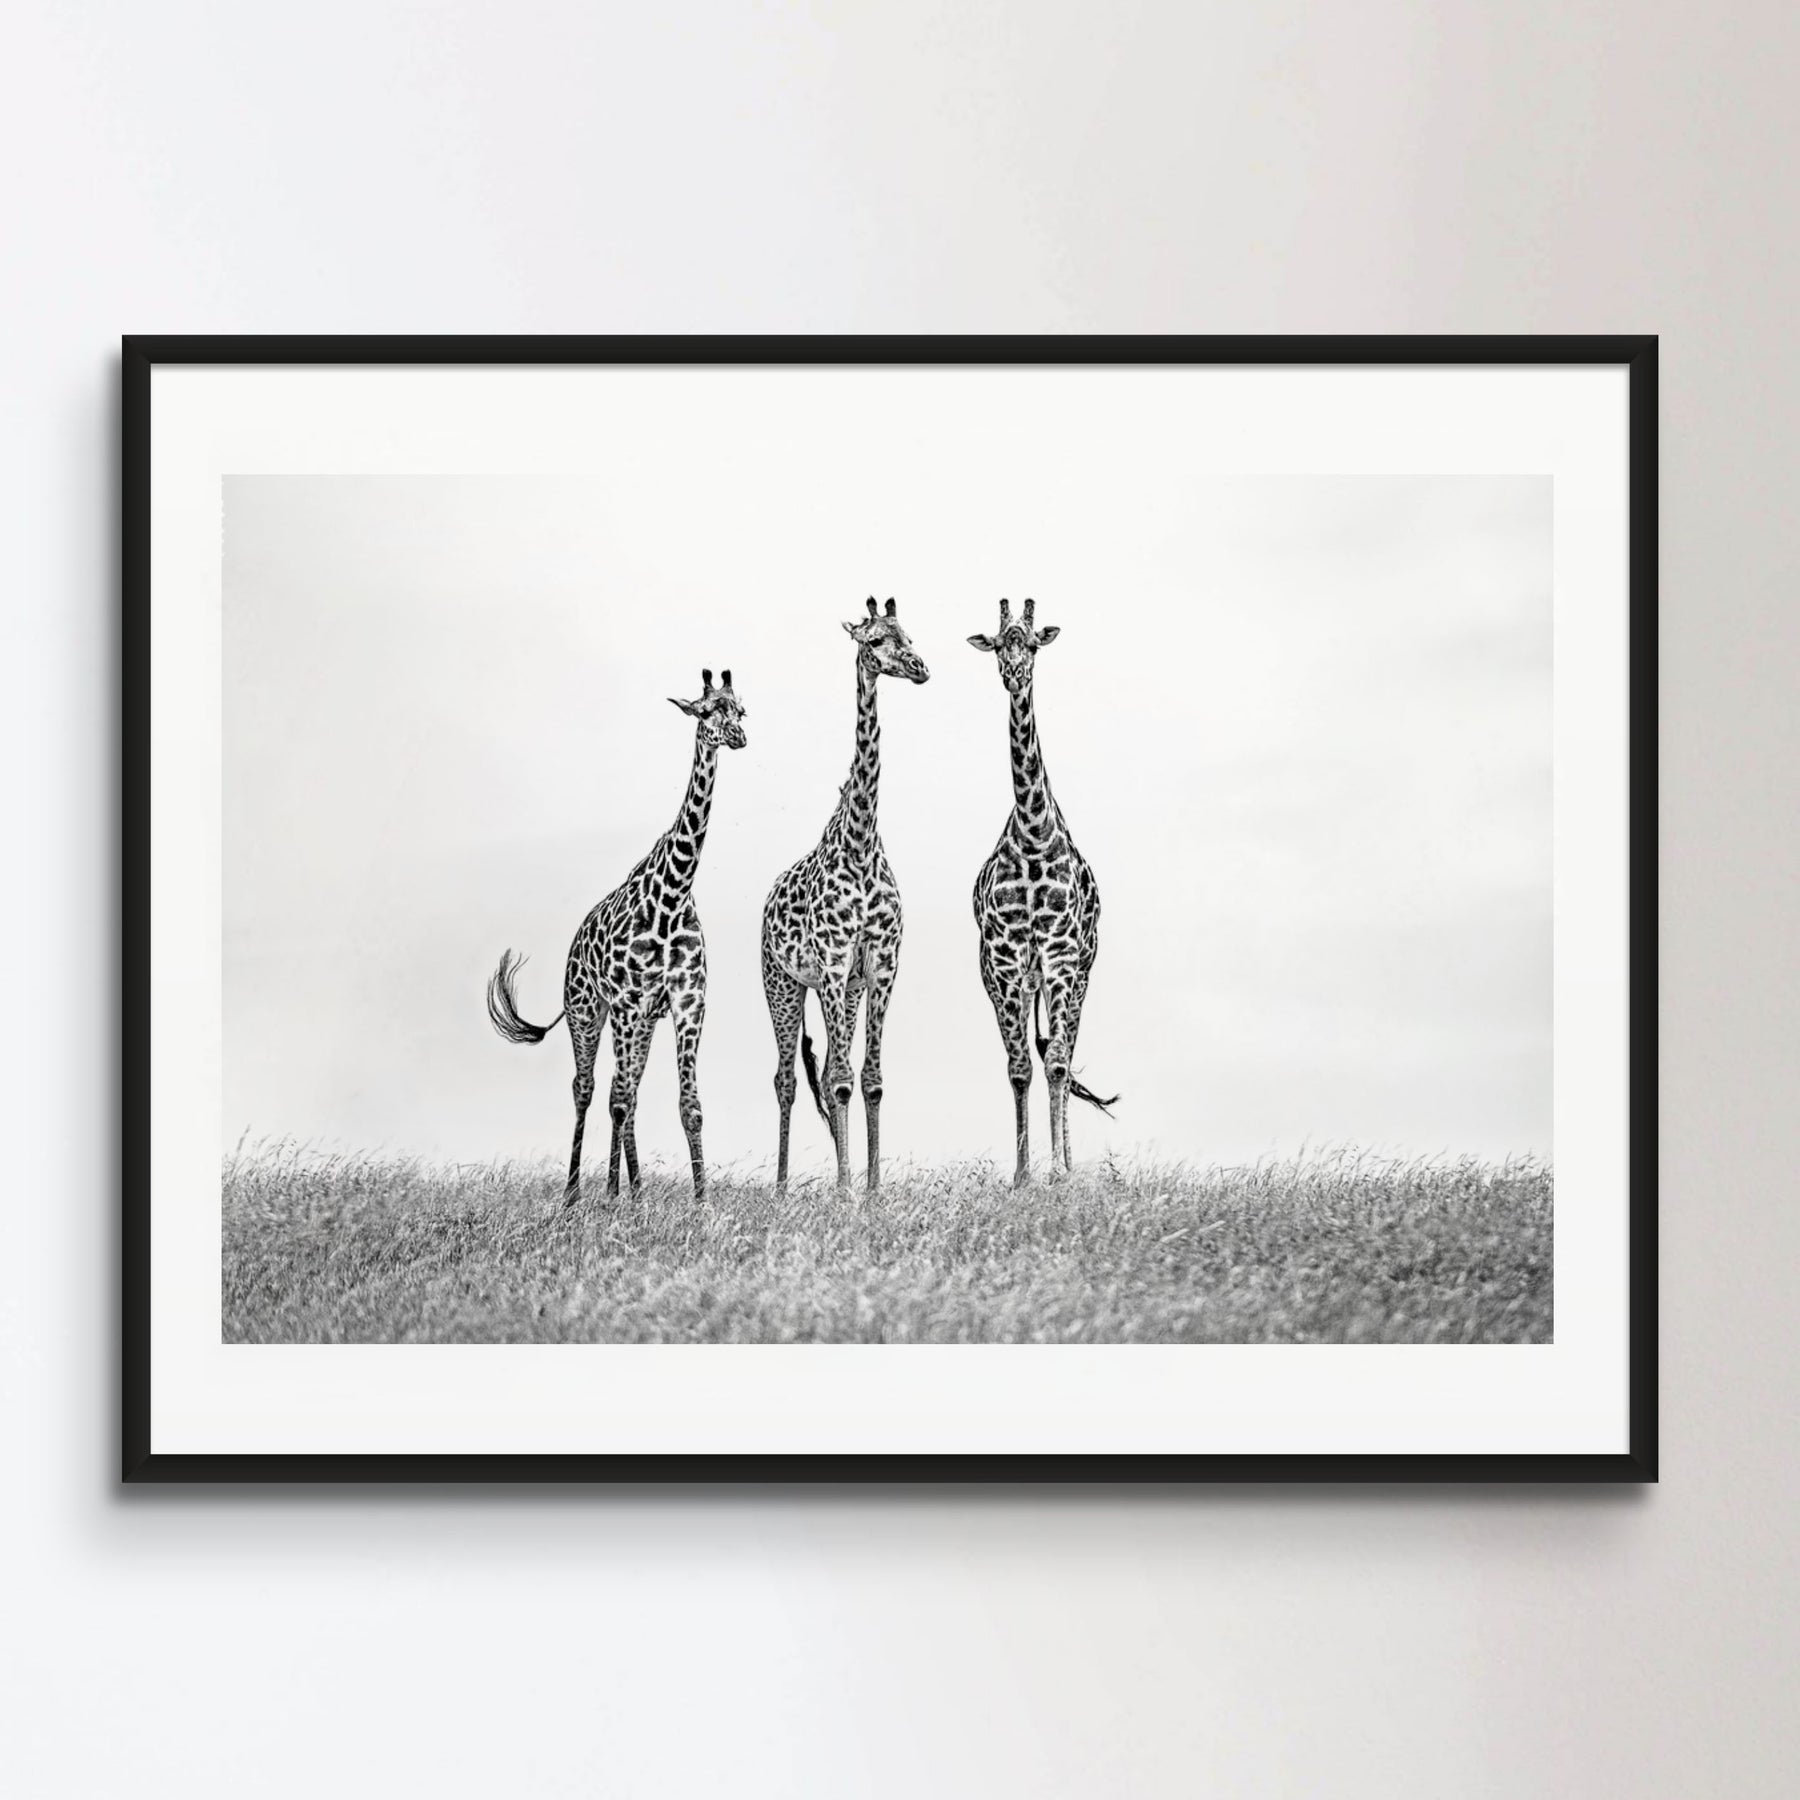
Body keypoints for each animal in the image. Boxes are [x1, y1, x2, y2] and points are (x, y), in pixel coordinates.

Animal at [485, 668, 747, 1205]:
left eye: (741, 709)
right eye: (706, 710)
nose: (738, 737)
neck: (673, 893)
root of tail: (573, 945)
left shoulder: (687, 1002)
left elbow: (689, 1104)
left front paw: (701, 1201)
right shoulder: (627, 1003)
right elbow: (617, 1097)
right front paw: (616, 1197)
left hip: (640, 1021)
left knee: (625, 1091)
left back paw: (630, 1188)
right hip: (588, 1012)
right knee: (589, 1089)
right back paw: (575, 1194)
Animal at [761, 597, 929, 1192]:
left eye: (909, 634)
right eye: (875, 641)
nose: (920, 668)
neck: (859, 845)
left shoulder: (879, 965)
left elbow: (870, 1078)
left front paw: (873, 1187)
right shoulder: (833, 964)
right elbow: (836, 1079)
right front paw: (844, 1189)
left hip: (843, 992)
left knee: (834, 1068)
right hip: (783, 984)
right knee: (787, 1078)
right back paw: (783, 1185)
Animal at [968, 597, 1116, 1185]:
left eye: (1031, 643)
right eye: (995, 643)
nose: (1014, 674)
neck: (1033, 835)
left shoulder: (1061, 955)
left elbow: (1055, 1063)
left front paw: (1058, 1173)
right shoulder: (1006, 962)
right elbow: (1019, 1068)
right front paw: (1022, 1174)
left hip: (1080, 973)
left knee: (1064, 1053)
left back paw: (1070, 1163)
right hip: (1016, 980)